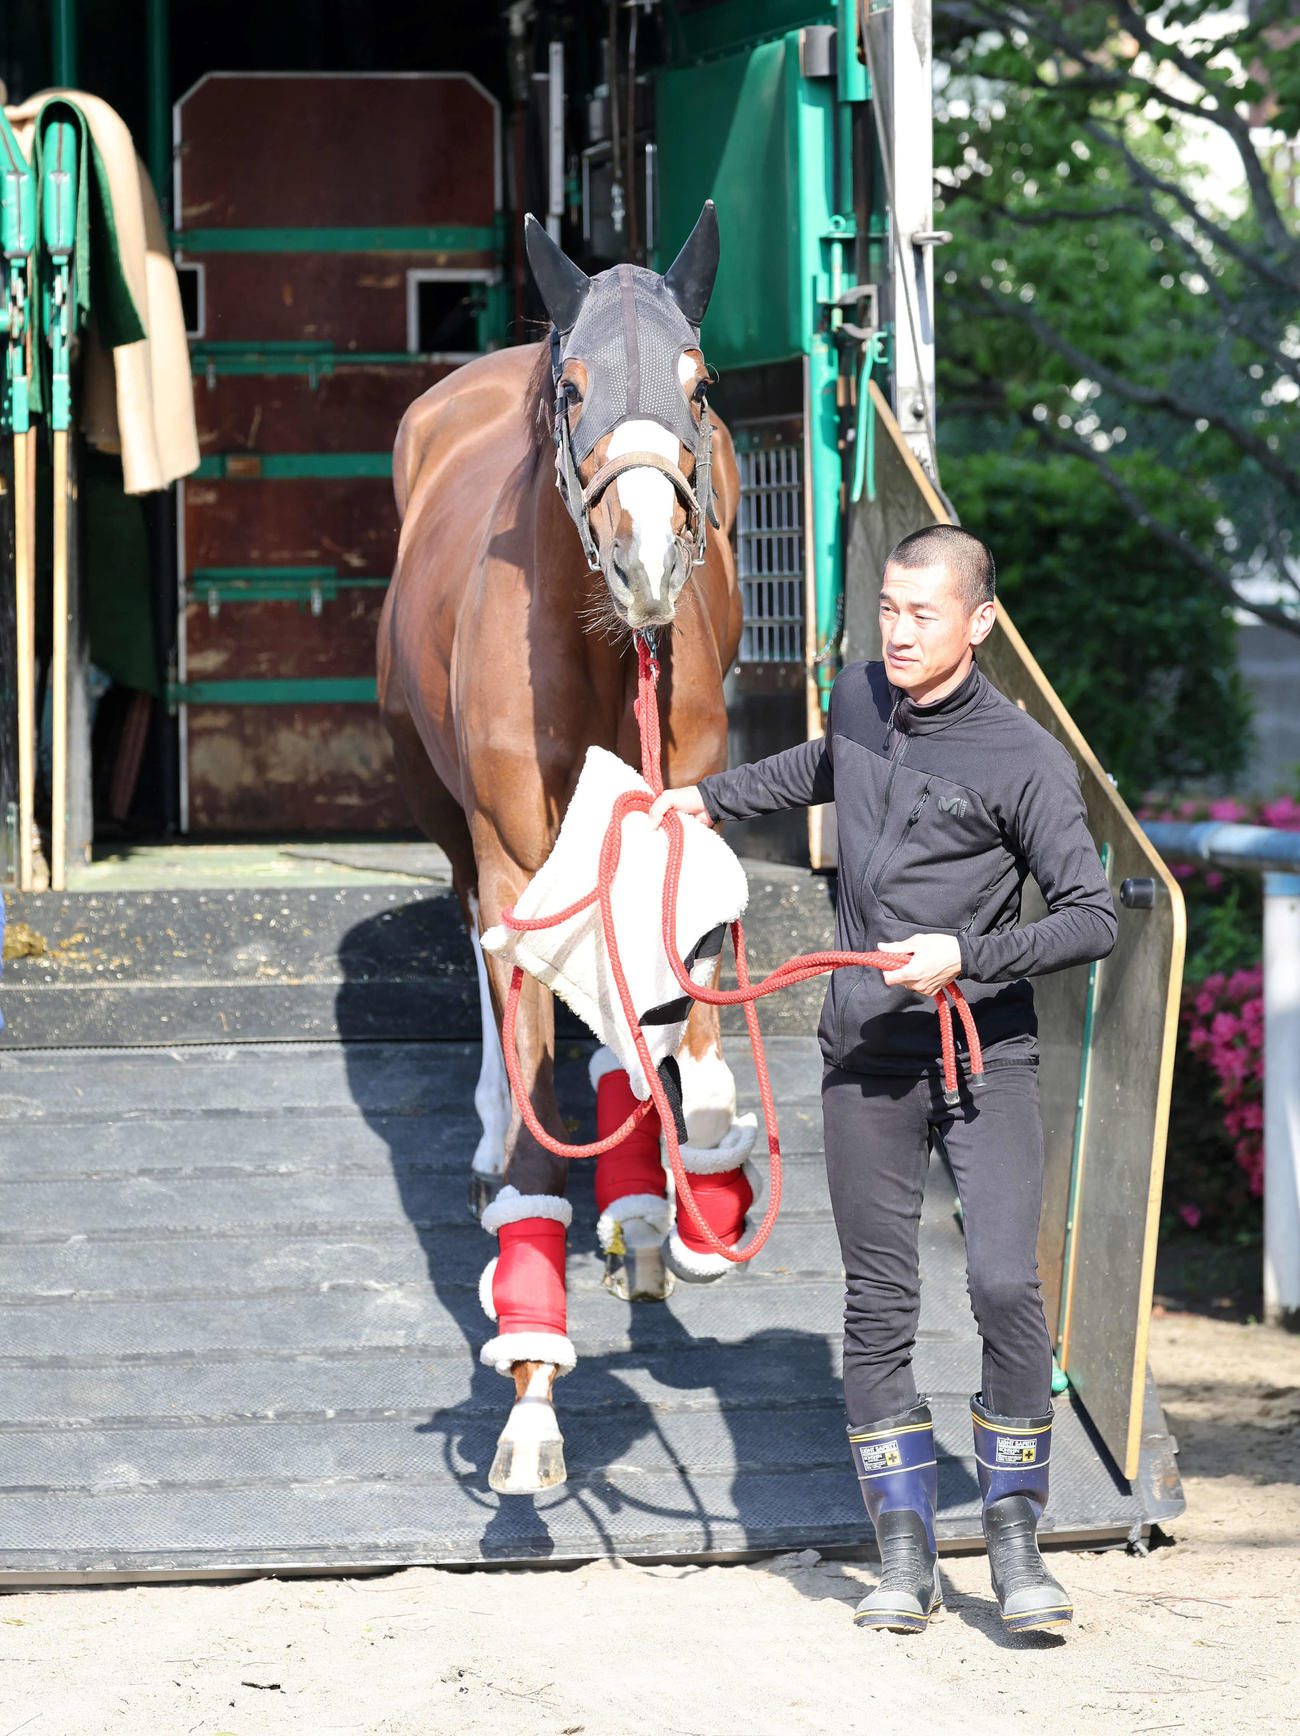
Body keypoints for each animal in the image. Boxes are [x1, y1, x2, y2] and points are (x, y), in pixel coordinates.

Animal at [377, 205, 753, 1494]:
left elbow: (676, 1028)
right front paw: (531, 1397)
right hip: (446, 817)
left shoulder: (677, 811)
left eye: (699, 386)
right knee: (483, 955)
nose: (646, 560)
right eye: (574, 386)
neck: (597, 647)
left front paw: (681, 1200)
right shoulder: (507, 853)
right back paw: (500, 1144)